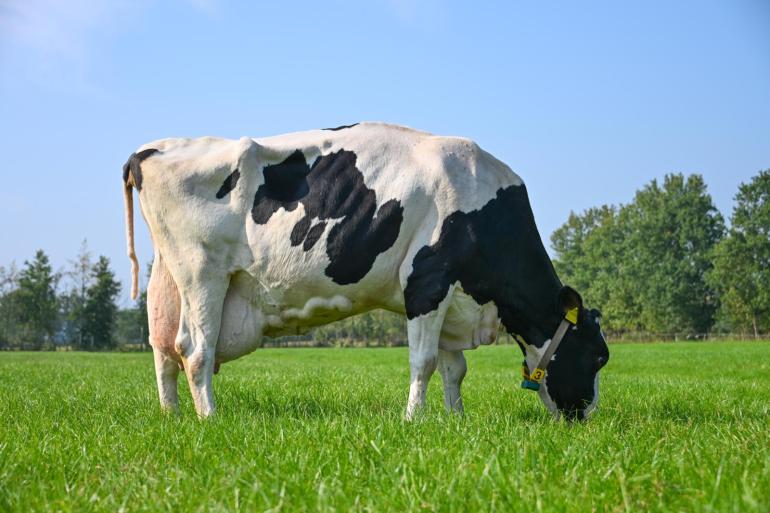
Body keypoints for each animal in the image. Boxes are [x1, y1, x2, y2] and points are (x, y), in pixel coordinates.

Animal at [123, 121, 608, 420]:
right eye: (600, 356)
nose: (587, 418)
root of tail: (149, 149)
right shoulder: (427, 282)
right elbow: (425, 362)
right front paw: (414, 419)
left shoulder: (451, 297)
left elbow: (455, 369)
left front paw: (456, 419)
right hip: (203, 271)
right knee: (195, 350)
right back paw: (211, 419)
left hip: (168, 277)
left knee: (163, 349)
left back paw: (173, 418)